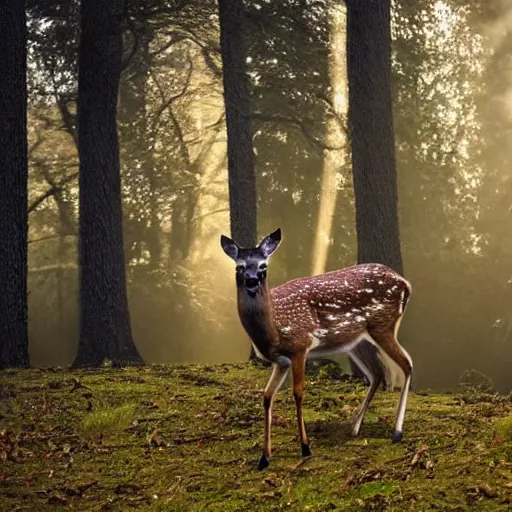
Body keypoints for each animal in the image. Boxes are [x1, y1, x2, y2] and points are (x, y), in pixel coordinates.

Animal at [219, 230, 412, 470]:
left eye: (263, 266)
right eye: (239, 267)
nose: (252, 281)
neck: (275, 328)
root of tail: (406, 284)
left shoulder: (300, 345)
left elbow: (298, 392)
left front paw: (305, 447)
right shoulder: (280, 361)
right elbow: (267, 396)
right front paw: (264, 457)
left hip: (383, 325)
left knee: (407, 364)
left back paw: (396, 432)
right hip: (358, 341)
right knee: (377, 373)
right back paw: (354, 428)